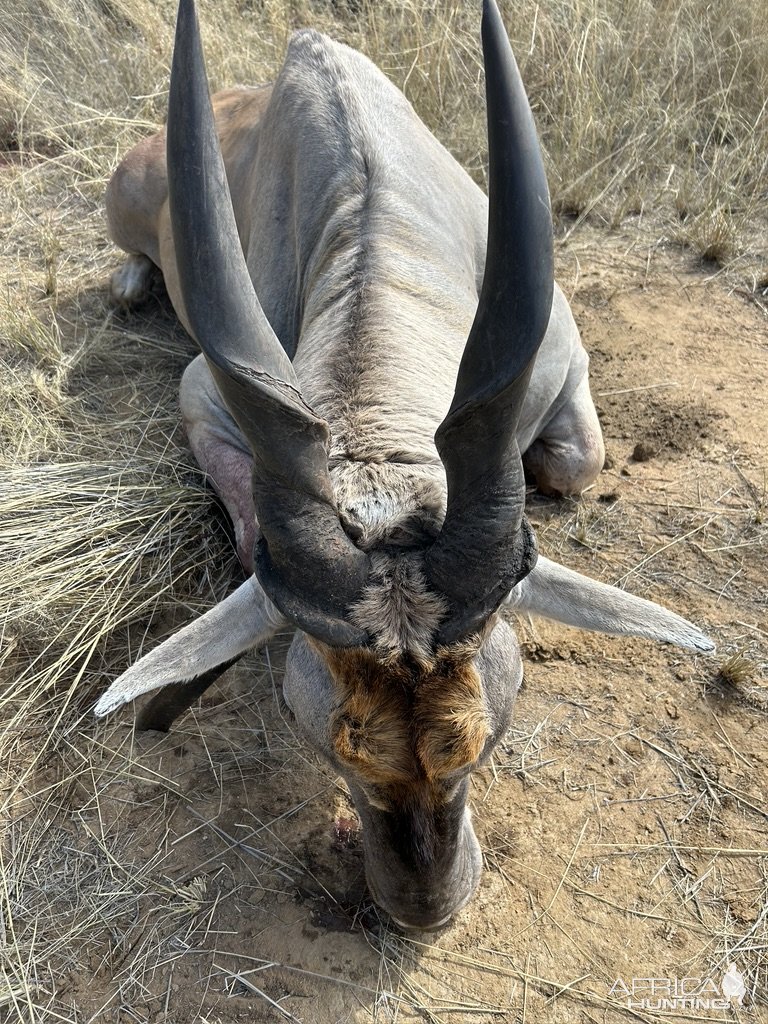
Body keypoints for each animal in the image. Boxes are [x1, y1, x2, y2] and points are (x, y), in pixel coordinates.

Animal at [97, 0, 716, 933]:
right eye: (317, 734)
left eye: (493, 731)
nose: (425, 909)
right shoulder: (201, 388)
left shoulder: (566, 363)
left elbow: (573, 465)